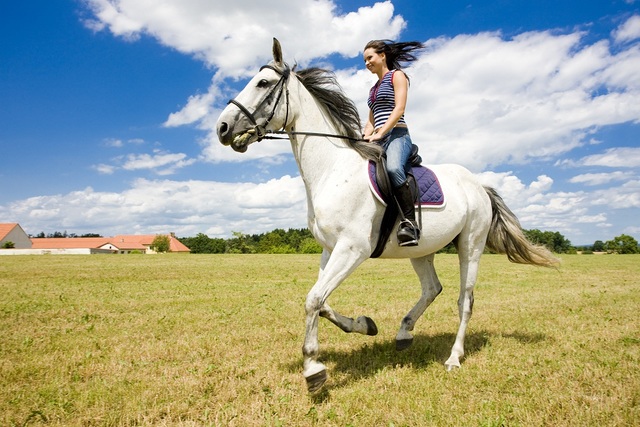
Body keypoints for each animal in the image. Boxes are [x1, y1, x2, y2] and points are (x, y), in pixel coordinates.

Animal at [216, 38, 558, 393]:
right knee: (432, 288)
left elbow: (313, 300)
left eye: (262, 83)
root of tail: (479, 184)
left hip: (471, 246)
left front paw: (313, 369)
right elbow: (322, 301)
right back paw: (404, 332)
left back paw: (453, 357)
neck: (332, 169)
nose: (222, 128)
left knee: (465, 301)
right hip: (421, 250)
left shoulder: (353, 249)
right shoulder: (329, 249)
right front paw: (365, 325)